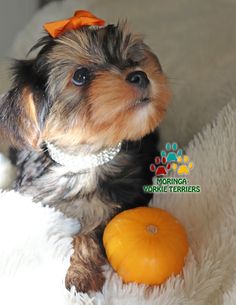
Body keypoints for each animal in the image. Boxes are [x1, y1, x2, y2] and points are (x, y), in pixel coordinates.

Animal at [0, 16, 170, 292]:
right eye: (80, 76)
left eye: (131, 59)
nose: (140, 75)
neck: (84, 159)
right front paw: (80, 273)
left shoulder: (125, 198)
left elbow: (89, 231)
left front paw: (80, 274)